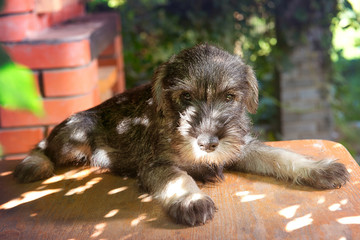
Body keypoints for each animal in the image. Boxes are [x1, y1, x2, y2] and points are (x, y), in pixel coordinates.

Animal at [14, 44, 348, 226]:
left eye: (230, 97)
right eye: (185, 97)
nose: (208, 143)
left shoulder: (242, 147)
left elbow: (280, 155)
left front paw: (321, 169)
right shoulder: (157, 165)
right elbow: (178, 178)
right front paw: (192, 200)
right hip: (78, 131)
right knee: (45, 145)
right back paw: (34, 163)